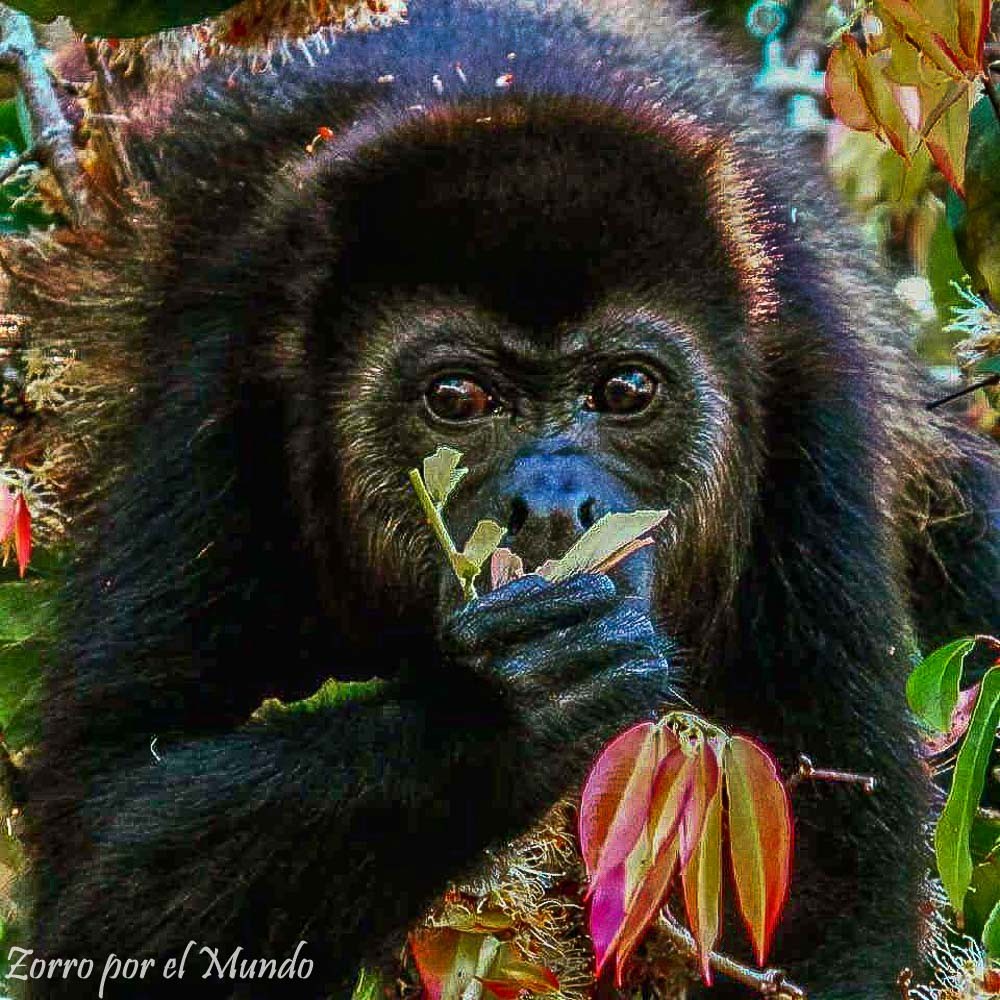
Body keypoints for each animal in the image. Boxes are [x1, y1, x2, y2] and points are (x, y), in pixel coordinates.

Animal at [17, 1, 1000, 1000]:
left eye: (626, 390)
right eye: (457, 398)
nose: (555, 506)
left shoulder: (808, 392)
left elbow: (841, 903)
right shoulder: (224, 382)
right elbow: (106, 847)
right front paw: (510, 704)